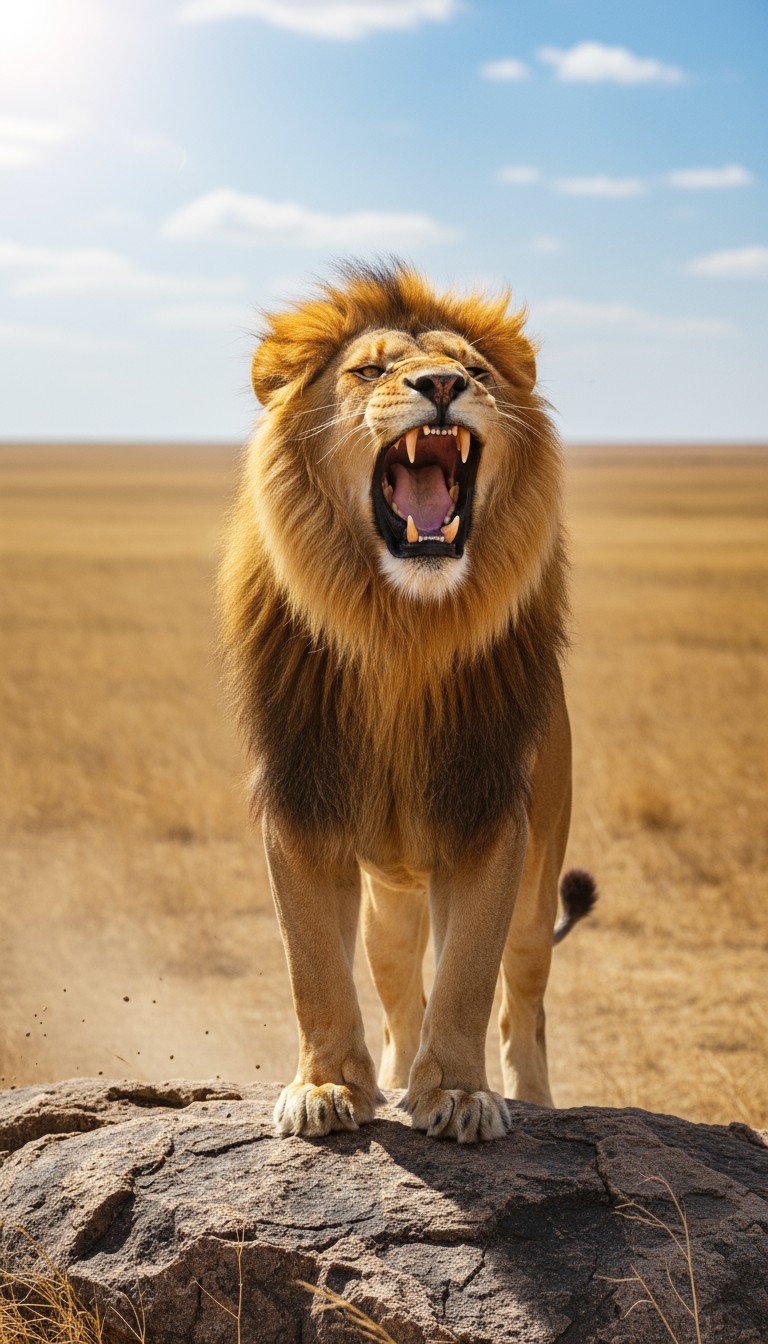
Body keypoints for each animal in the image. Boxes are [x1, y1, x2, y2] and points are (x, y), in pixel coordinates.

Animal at [219, 260, 596, 1143]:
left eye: (478, 371)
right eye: (369, 371)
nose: (443, 385)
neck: (401, 636)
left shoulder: (490, 815)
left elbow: (467, 978)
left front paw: (458, 1094)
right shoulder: (300, 807)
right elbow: (314, 968)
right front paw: (326, 1088)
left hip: (542, 878)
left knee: (523, 999)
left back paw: (533, 1097)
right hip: (390, 900)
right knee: (397, 994)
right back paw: (389, 1076)